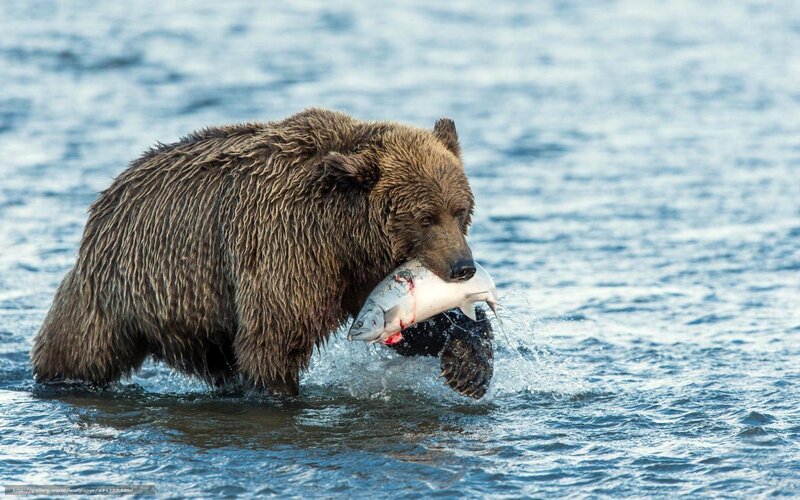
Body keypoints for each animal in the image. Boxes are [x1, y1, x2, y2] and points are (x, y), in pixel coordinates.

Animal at [31, 108, 493, 397]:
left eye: (460, 210)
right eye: (426, 217)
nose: (463, 267)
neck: (345, 233)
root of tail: (107, 196)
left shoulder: (357, 273)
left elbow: (414, 326)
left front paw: (468, 365)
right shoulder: (285, 248)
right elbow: (274, 339)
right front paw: (279, 390)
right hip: (123, 287)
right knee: (79, 347)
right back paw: (58, 378)